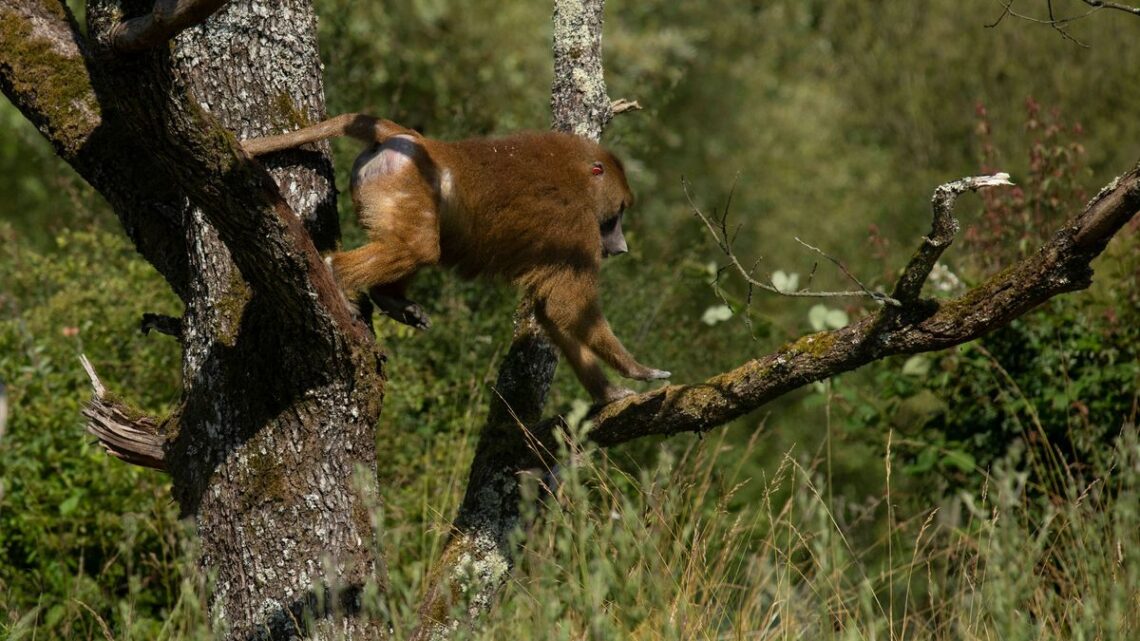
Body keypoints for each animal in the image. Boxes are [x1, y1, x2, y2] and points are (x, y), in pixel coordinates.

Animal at [240, 110, 665, 399]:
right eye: (618, 214)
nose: (621, 247)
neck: (579, 177)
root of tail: (417, 141)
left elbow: (551, 311)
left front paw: (609, 394)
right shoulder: (575, 225)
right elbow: (568, 306)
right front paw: (638, 370)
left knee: (418, 243)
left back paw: (389, 299)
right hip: (403, 181)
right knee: (419, 248)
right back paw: (338, 279)